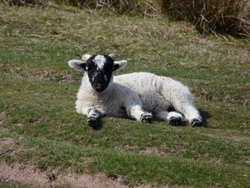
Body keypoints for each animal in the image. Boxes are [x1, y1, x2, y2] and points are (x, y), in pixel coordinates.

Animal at [68, 53, 203, 129]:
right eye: (88, 67)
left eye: (110, 68)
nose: (99, 83)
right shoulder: (87, 107)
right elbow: (92, 112)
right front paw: (92, 120)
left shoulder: (130, 96)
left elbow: (133, 110)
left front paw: (144, 117)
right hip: (160, 107)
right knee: (172, 113)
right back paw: (174, 119)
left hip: (177, 94)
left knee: (189, 109)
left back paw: (196, 121)